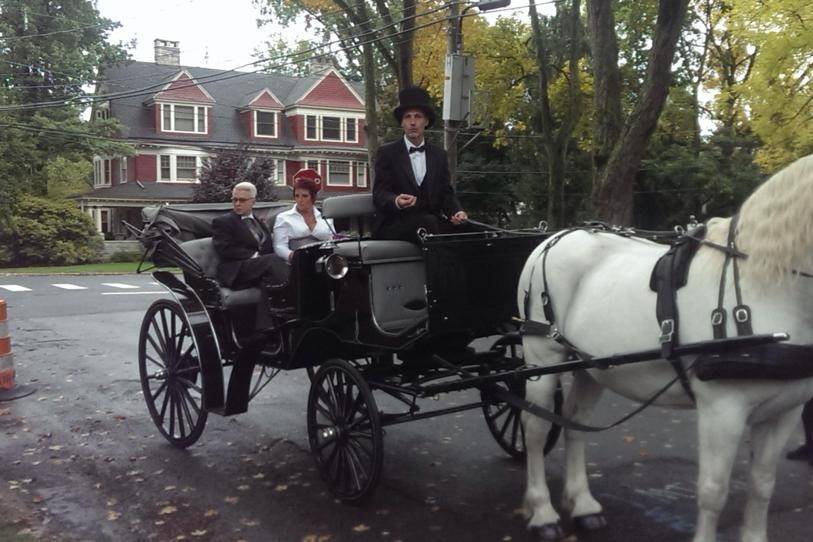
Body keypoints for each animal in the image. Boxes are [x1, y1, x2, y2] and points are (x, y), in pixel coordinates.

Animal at [516, 154, 812, 542]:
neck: (765, 285)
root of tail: (555, 237)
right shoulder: (722, 411)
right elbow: (713, 491)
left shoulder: (786, 410)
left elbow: (762, 486)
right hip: (541, 358)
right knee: (535, 430)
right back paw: (543, 513)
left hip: (591, 366)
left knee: (575, 421)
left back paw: (583, 505)